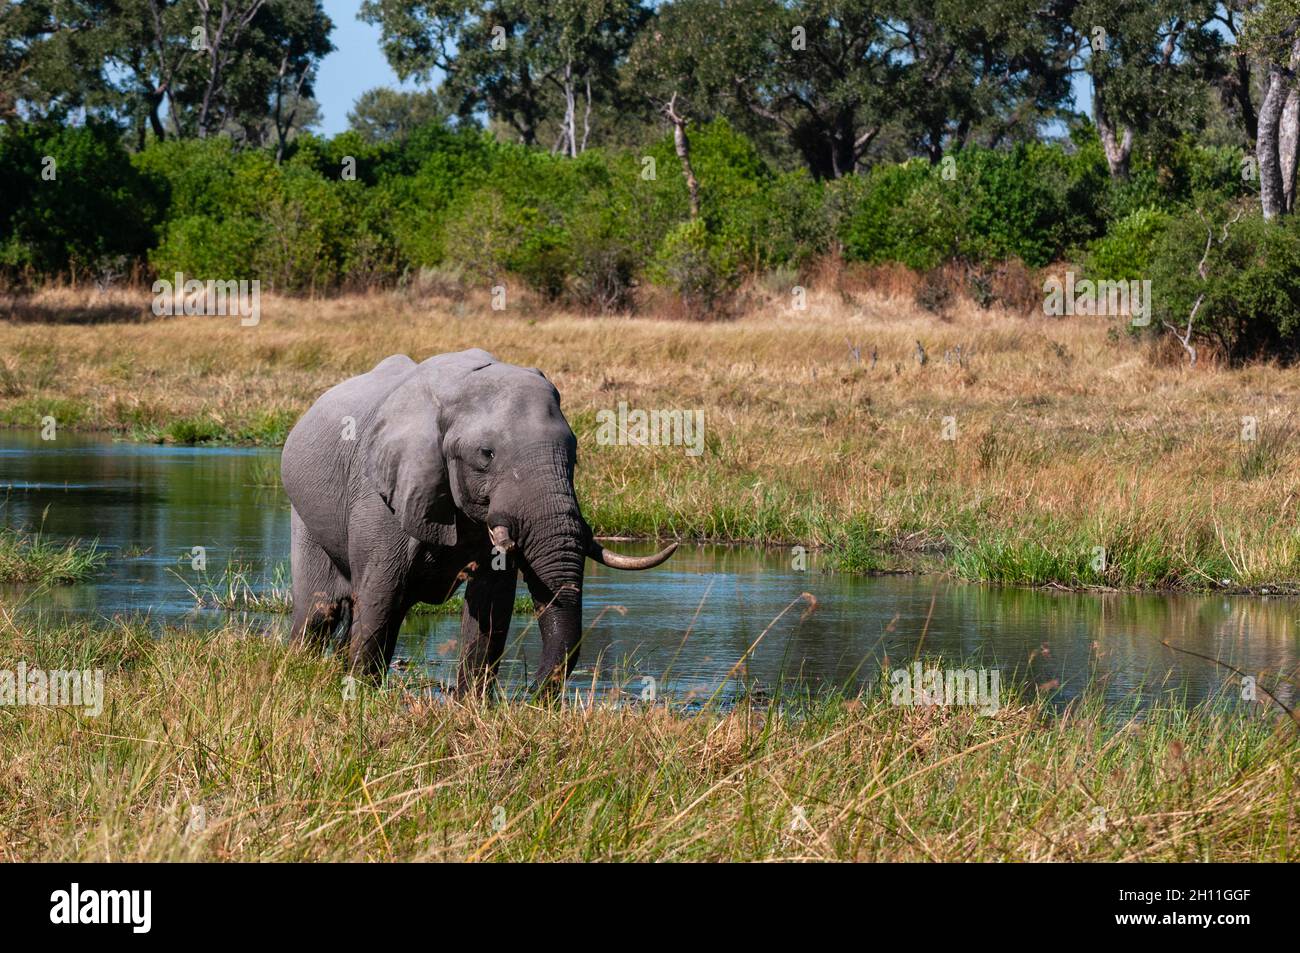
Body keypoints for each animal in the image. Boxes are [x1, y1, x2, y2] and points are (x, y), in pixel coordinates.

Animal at [279, 348, 676, 691]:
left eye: (574, 456)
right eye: (486, 454)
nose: (534, 696)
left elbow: (491, 605)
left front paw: (472, 705)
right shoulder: (378, 497)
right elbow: (379, 594)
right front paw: (359, 694)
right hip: (303, 515)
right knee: (318, 611)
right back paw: (300, 666)